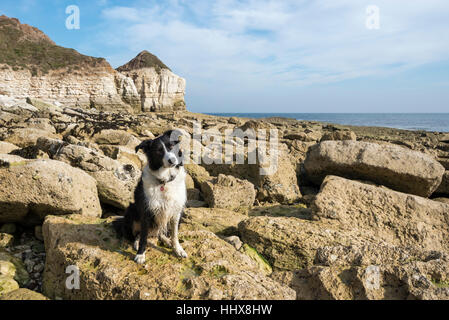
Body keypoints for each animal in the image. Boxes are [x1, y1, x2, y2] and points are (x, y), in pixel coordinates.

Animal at [114, 129, 188, 264]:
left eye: (171, 146)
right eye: (159, 151)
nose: (172, 160)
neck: (164, 180)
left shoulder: (176, 211)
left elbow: (174, 234)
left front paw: (177, 249)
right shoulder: (147, 211)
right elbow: (143, 237)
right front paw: (140, 254)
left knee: (159, 233)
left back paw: (167, 241)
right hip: (132, 211)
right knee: (137, 235)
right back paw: (136, 244)